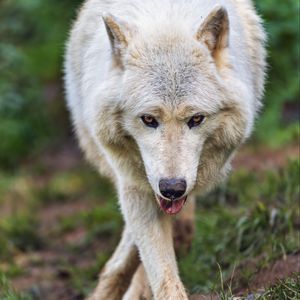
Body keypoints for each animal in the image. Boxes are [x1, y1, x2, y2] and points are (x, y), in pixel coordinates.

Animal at [64, 0, 266, 298]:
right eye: (148, 119)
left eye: (196, 119)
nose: (172, 188)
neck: (166, 19)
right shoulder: (134, 183)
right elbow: (158, 266)